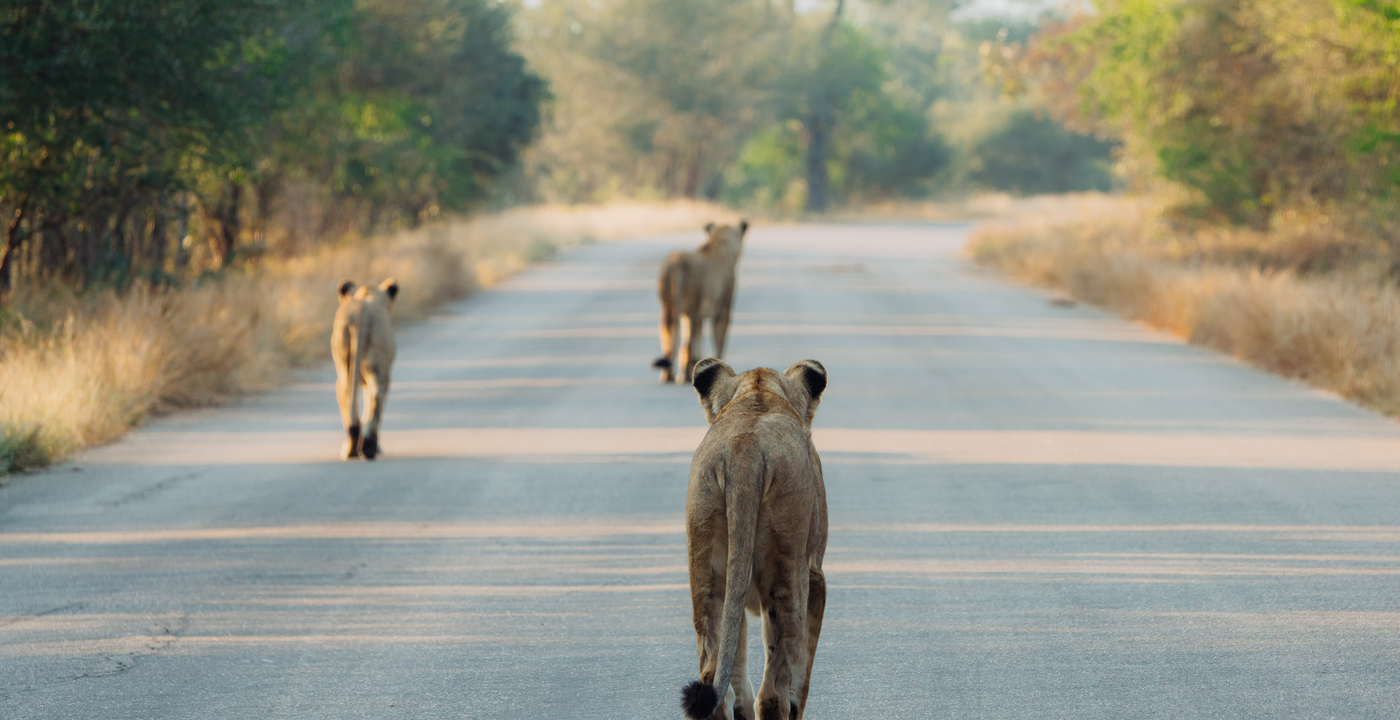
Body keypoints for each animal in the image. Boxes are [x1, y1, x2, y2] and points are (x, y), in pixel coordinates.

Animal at [331, 278, 399, 460]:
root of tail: (362, 311)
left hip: (348, 365)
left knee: (353, 397)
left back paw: (356, 448)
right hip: (377, 369)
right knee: (375, 396)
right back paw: (366, 447)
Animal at [652, 221, 749, 384]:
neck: (719, 243)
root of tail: (677, 262)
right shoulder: (722, 311)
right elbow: (719, 341)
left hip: (668, 307)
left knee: (669, 333)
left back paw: (669, 375)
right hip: (693, 308)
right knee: (689, 343)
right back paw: (685, 376)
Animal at [680, 357, 828, 720]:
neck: (758, 393)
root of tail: (743, 451)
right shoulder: (816, 578)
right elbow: (802, 676)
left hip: (708, 571)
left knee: (714, 676)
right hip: (788, 571)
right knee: (773, 692)